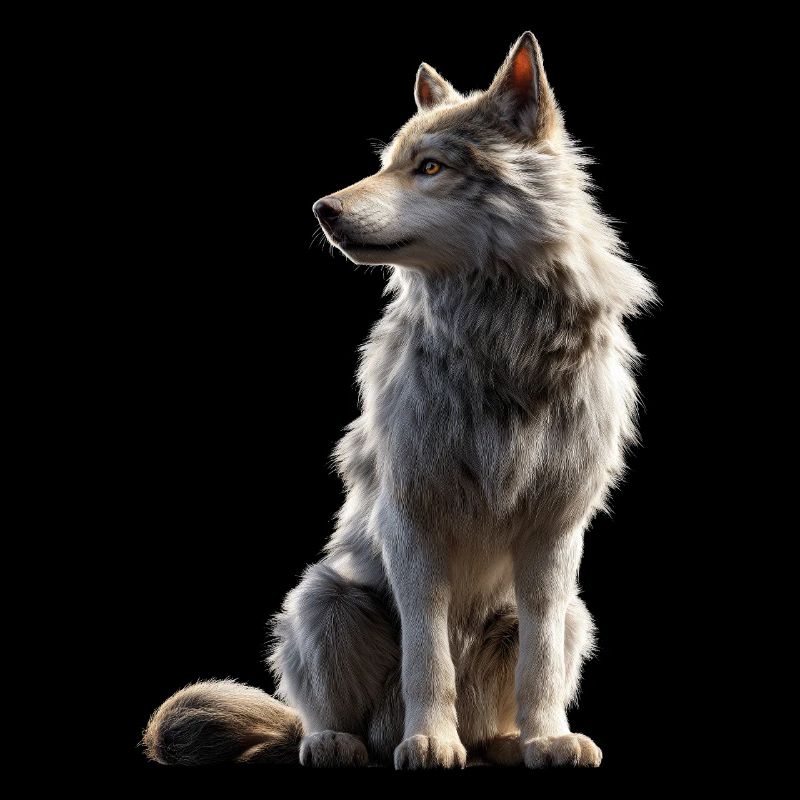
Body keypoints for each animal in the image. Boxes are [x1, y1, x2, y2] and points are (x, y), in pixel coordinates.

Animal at [144, 31, 654, 769]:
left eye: (430, 167)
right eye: (386, 165)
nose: (322, 210)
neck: (499, 339)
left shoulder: (555, 532)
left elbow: (540, 666)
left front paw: (549, 739)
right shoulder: (412, 522)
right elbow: (427, 654)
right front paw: (430, 741)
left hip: (574, 615)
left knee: (519, 684)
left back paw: (503, 742)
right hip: (323, 599)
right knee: (326, 715)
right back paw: (342, 741)